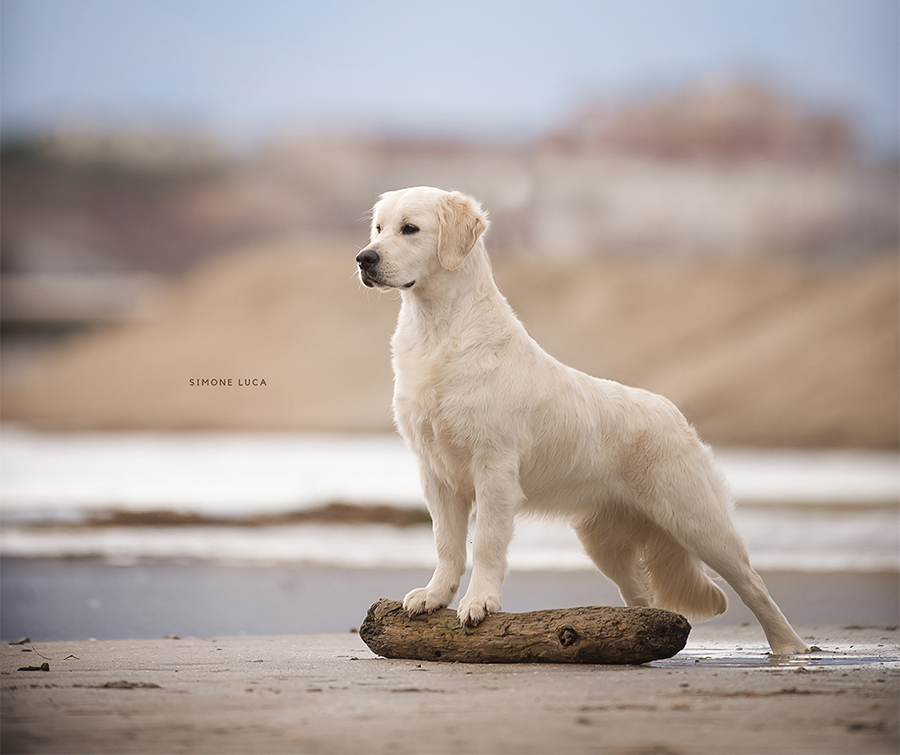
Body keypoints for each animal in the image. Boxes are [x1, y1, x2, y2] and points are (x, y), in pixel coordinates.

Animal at [356, 185, 808, 656]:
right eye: (378, 228)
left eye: (410, 229)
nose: (363, 258)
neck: (438, 331)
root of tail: (674, 413)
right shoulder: (435, 472)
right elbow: (446, 543)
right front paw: (433, 596)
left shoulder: (494, 467)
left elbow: (486, 544)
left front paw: (479, 602)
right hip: (602, 542)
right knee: (641, 594)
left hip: (696, 520)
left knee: (753, 584)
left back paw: (790, 649)